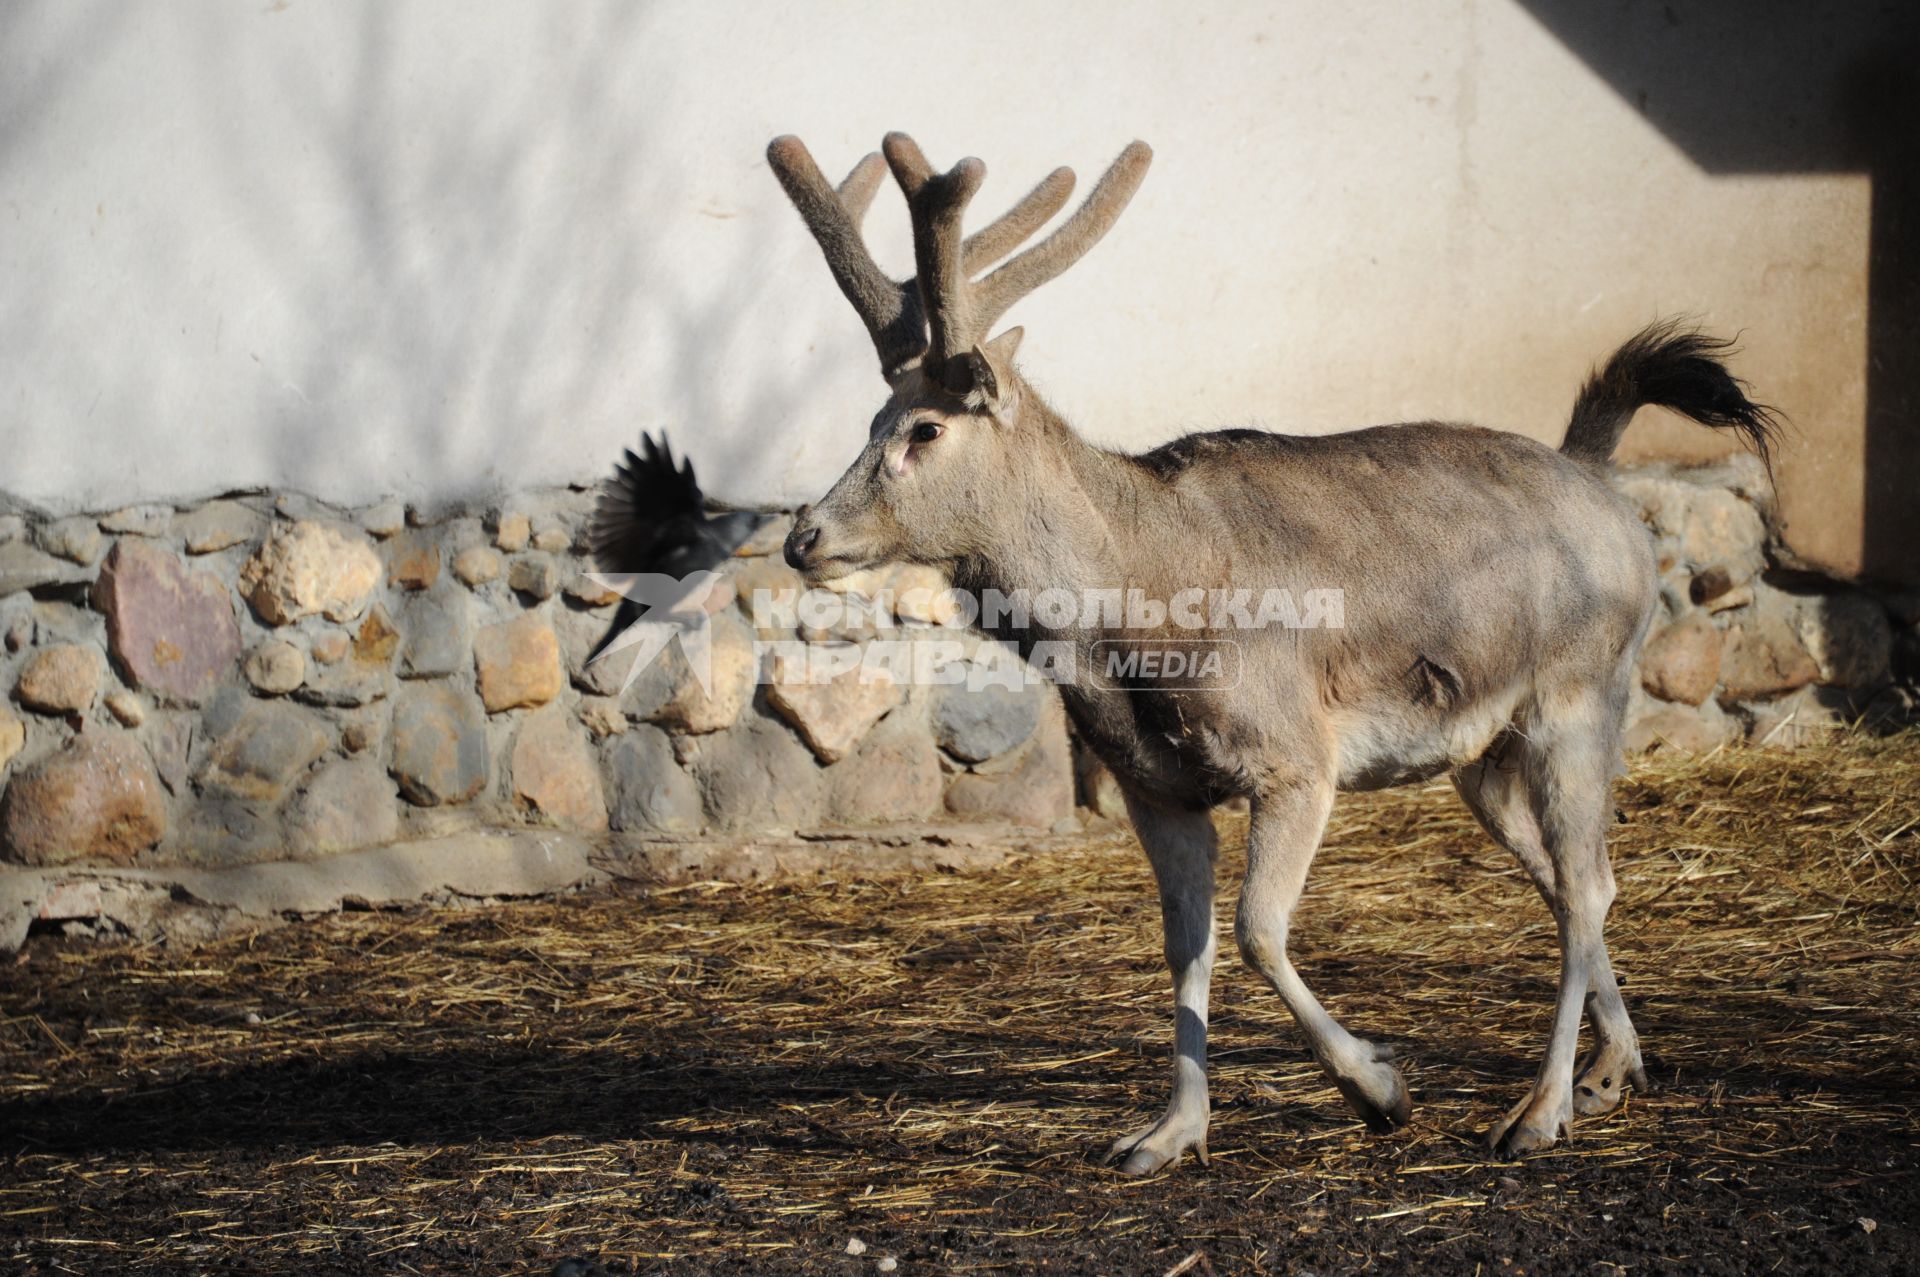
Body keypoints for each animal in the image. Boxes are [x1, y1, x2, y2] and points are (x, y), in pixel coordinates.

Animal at [760, 131, 1766, 1175]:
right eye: (870, 423)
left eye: (923, 429)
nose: (804, 537)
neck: (1137, 620)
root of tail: (1607, 487)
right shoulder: (1154, 783)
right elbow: (1186, 944)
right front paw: (1168, 1131)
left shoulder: (1294, 756)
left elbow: (1254, 930)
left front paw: (1379, 1086)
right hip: (1480, 752)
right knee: (1562, 875)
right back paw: (1615, 1068)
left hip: (1582, 692)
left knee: (1586, 882)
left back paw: (1541, 1108)